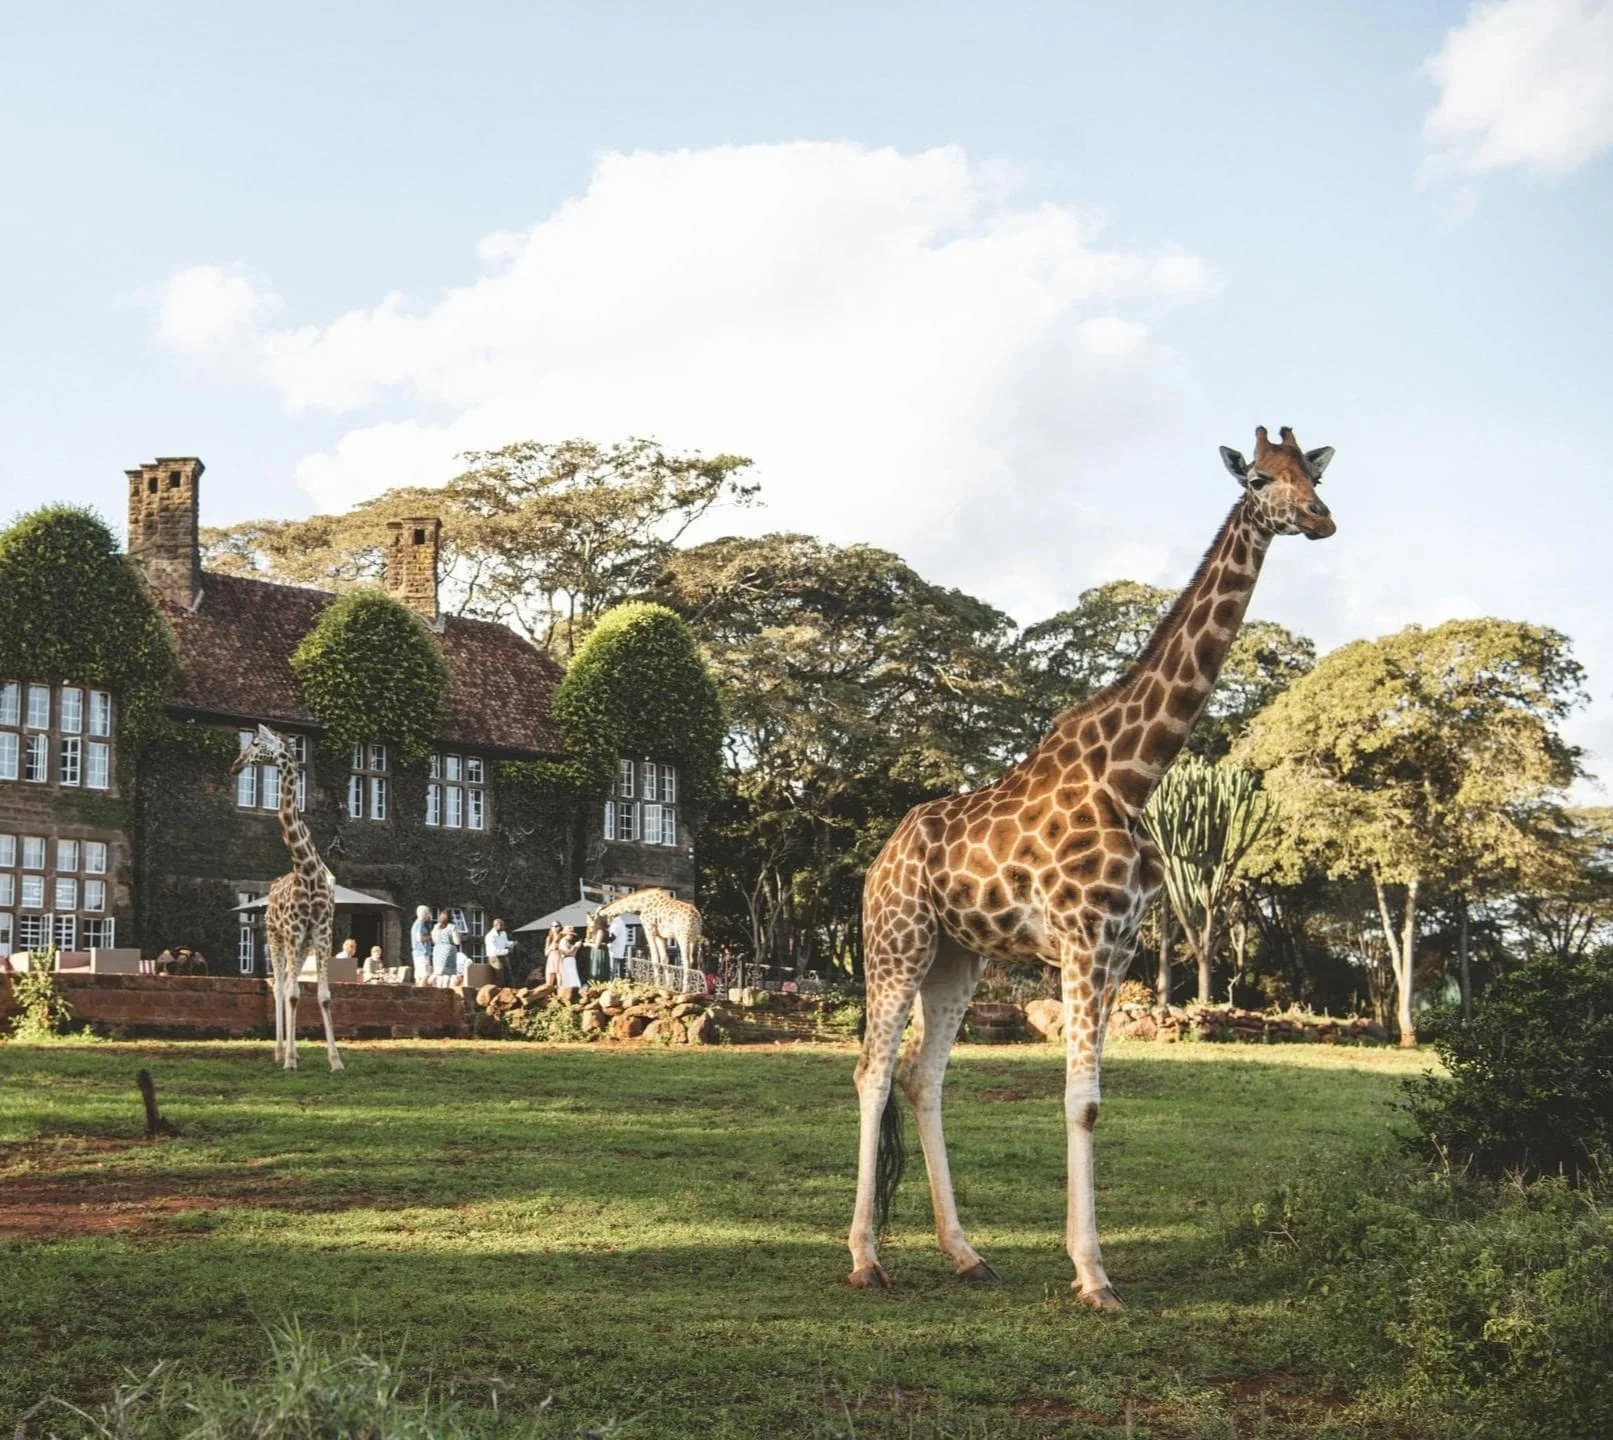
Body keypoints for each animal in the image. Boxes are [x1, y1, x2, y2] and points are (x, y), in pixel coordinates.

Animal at [230, 725, 344, 1072]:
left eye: (255, 743)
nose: (235, 765)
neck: (306, 868)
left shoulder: (321, 932)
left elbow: (323, 995)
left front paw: (335, 1060)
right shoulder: (292, 932)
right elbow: (292, 993)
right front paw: (291, 1059)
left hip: (302, 944)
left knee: (288, 985)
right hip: (275, 936)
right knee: (279, 986)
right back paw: (280, 1051)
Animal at [848, 426, 1336, 1307]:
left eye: (1310, 476)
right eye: (1257, 479)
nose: (1320, 520)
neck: (1133, 774)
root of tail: (881, 859)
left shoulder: (1117, 946)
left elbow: (1093, 1103)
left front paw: (1089, 1266)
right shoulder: (1080, 940)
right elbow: (1079, 1103)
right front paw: (1091, 1275)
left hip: (957, 956)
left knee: (921, 1078)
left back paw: (966, 1253)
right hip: (896, 941)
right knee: (871, 1072)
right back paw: (865, 1257)